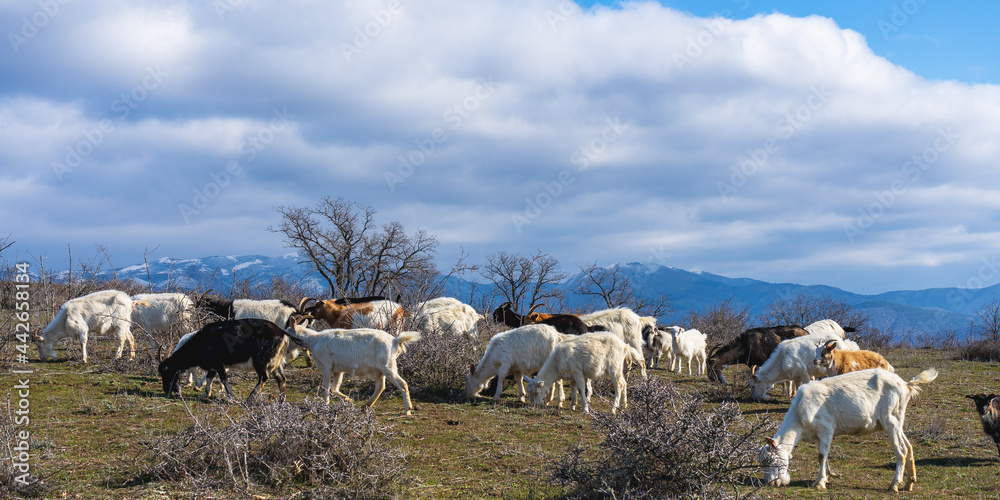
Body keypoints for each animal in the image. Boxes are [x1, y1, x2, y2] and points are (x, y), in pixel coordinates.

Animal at [157, 318, 289, 402]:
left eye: (169, 372)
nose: (167, 389)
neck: (200, 342)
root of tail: (282, 334)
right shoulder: (212, 366)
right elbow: (209, 378)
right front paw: (205, 395)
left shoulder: (218, 363)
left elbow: (223, 378)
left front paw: (231, 396)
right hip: (276, 363)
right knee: (281, 379)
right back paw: (281, 402)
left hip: (261, 360)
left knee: (264, 377)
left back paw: (250, 398)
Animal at [285, 316, 421, 415]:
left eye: (287, 334)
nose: (286, 349)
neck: (315, 340)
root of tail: (395, 341)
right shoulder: (337, 370)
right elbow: (334, 388)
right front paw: (349, 400)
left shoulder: (327, 366)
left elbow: (326, 386)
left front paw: (325, 405)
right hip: (380, 371)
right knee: (380, 386)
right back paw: (365, 407)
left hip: (388, 367)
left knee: (402, 384)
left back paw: (407, 410)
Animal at [758, 368, 938, 491]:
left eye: (771, 461)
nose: (770, 483)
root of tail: (906, 384)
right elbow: (825, 456)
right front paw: (827, 476)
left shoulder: (826, 429)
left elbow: (821, 456)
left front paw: (820, 482)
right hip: (898, 421)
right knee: (909, 446)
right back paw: (909, 483)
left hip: (891, 420)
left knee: (901, 450)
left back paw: (894, 485)